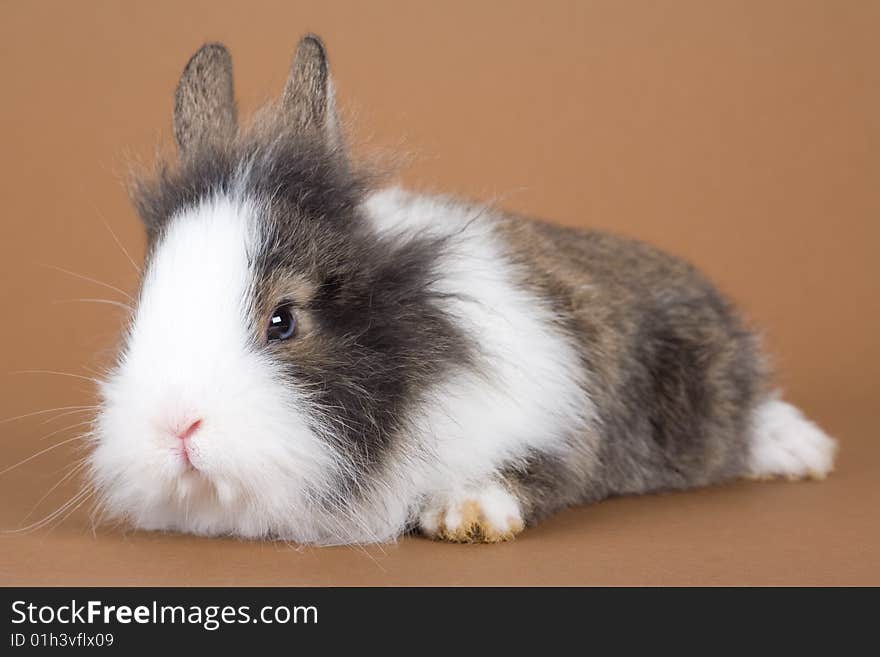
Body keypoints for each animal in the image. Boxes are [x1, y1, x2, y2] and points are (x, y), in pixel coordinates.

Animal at [86, 34, 836, 544]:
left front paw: (465, 514)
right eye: (141, 310)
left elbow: (532, 469)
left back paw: (804, 453)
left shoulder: (552, 407)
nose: (175, 426)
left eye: (283, 319)